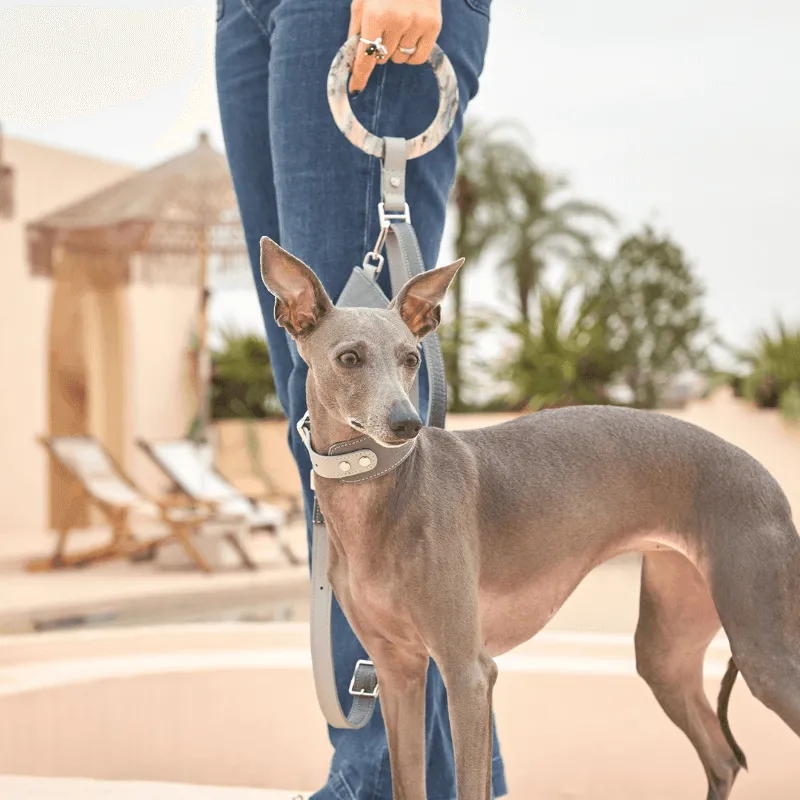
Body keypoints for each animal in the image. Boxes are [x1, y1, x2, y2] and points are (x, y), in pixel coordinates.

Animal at [260, 234, 796, 796]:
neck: (383, 487)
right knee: (722, 756)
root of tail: (766, 477)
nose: (406, 424)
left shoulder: (468, 673)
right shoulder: (396, 670)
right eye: (349, 357)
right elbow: (409, 782)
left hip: (764, 650)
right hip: (667, 650)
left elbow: (470, 784)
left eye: (410, 358)